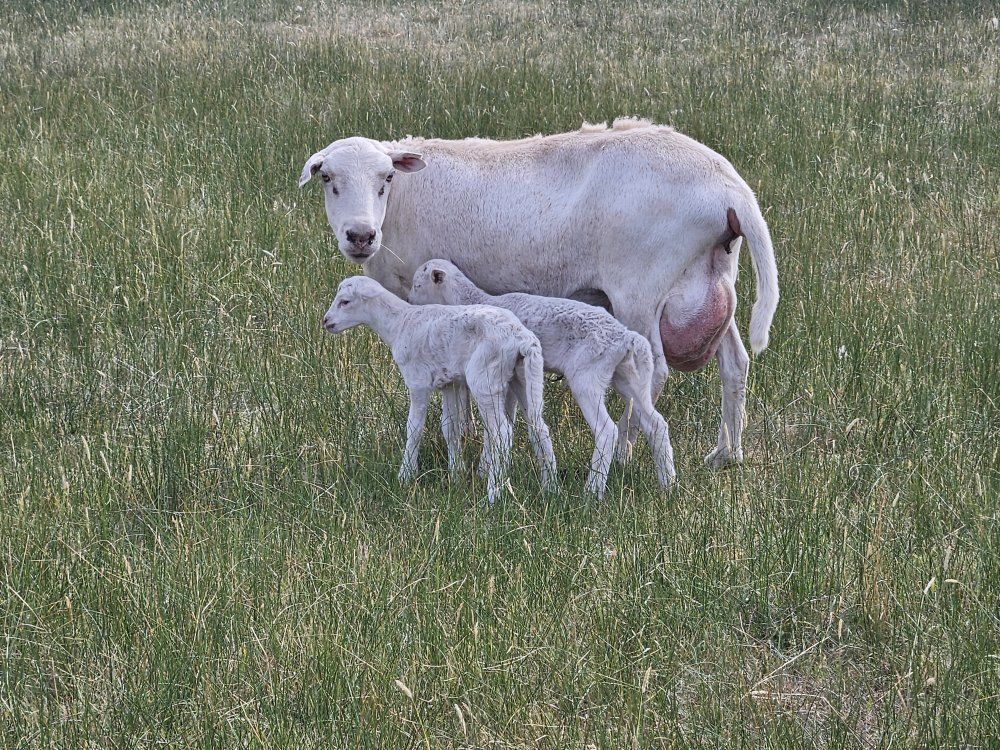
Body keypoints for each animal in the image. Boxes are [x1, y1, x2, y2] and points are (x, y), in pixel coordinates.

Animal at [322, 275, 557, 504]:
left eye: (345, 302)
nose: (326, 321)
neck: (398, 324)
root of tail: (522, 338)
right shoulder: (449, 383)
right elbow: (450, 428)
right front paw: (456, 474)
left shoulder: (417, 381)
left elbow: (414, 428)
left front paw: (405, 476)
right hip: (523, 376)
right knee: (539, 427)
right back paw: (550, 489)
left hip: (485, 379)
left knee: (502, 433)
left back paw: (493, 496)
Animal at [410, 260, 676, 499]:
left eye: (417, 285)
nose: (411, 302)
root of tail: (626, 336)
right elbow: (509, 417)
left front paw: (486, 468)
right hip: (626, 377)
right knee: (656, 424)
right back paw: (668, 485)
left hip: (587, 377)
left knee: (607, 430)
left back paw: (593, 490)